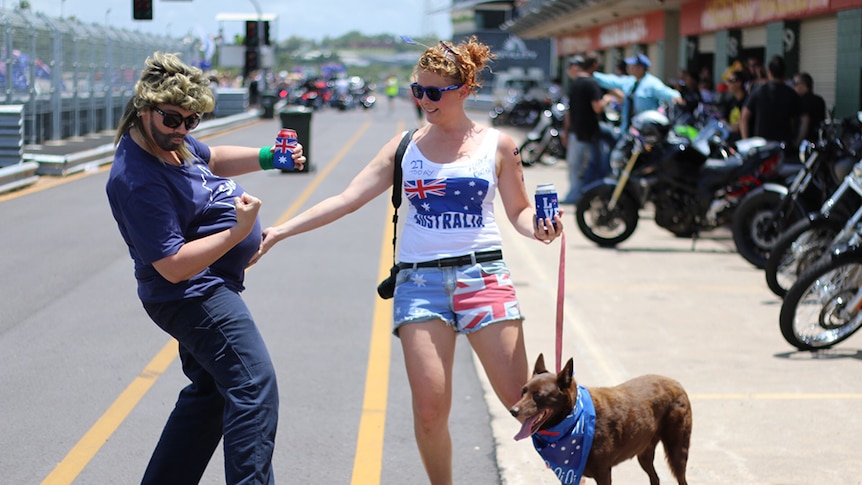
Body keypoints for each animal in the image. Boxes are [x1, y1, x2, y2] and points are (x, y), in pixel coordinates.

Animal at [510, 352, 692, 484]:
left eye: (538, 396)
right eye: (523, 391)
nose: (513, 410)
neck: (574, 419)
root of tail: (677, 383)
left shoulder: (603, 473)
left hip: (677, 451)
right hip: (644, 453)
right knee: (655, 478)